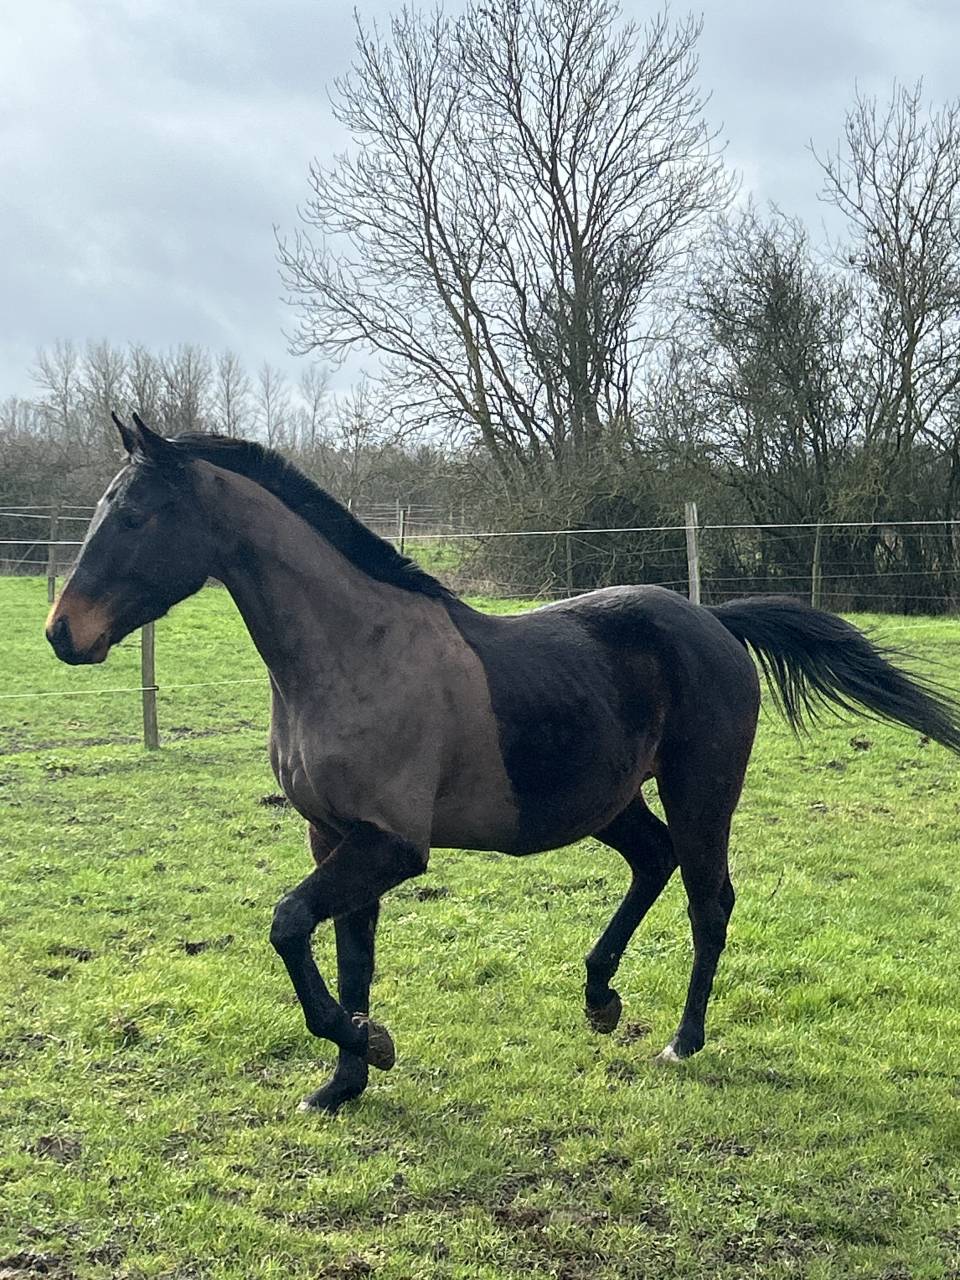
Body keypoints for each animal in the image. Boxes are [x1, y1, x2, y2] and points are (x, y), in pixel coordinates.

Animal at [46, 413, 960, 1113]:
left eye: (135, 516)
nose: (62, 633)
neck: (354, 651)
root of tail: (716, 623)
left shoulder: (390, 847)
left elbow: (289, 926)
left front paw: (370, 1047)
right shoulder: (331, 837)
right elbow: (345, 955)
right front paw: (342, 1084)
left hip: (702, 793)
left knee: (709, 901)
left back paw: (681, 1041)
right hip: (607, 801)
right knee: (653, 862)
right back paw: (599, 999)